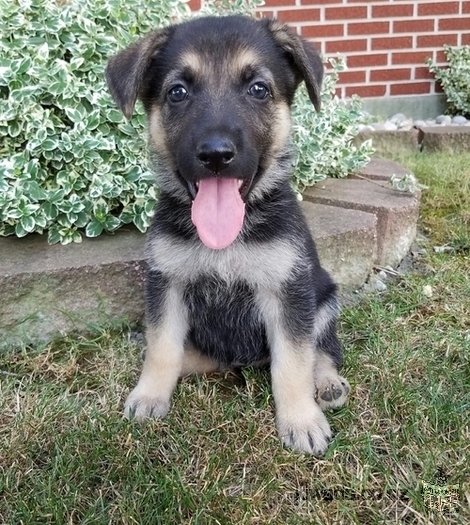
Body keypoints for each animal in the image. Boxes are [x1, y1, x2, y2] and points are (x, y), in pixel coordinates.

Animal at [106, 14, 348, 452]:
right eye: (178, 92)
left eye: (259, 89)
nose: (216, 154)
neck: (227, 241)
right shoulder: (166, 285)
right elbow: (161, 348)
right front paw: (149, 395)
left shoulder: (289, 293)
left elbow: (293, 361)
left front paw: (301, 420)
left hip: (323, 298)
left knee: (322, 351)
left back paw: (326, 384)